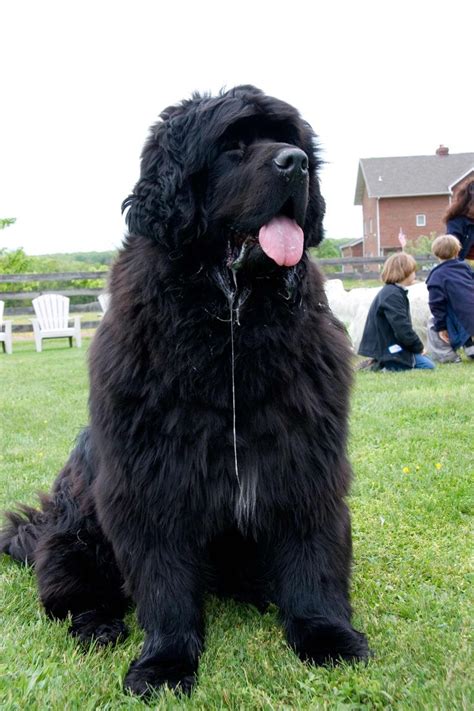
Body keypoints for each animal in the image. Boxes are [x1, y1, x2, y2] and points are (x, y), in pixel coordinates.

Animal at [0, 86, 368, 700]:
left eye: (291, 139)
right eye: (231, 145)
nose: (296, 163)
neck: (232, 321)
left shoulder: (302, 458)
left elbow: (311, 557)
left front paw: (325, 636)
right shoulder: (151, 479)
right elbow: (164, 584)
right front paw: (166, 664)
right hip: (73, 539)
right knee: (71, 595)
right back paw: (97, 626)